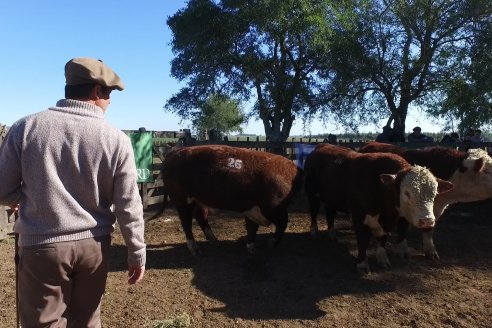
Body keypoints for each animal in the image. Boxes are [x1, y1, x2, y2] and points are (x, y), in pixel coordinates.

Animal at [161, 145, 302, 255]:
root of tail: (173, 153)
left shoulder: (253, 208)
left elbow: (252, 227)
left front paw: (251, 247)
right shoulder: (273, 208)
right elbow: (282, 225)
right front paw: (270, 243)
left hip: (198, 201)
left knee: (200, 217)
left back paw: (213, 239)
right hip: (182, 201)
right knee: (186, 222)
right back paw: (194, 248)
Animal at [304, 145, 454, 272]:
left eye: (434, 193)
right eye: (406, 193)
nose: (427, 221)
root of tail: (321, 146)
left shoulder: (389, 220)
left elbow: (383, 238)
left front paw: (382, 259)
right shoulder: (359, 216)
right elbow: (363, 240)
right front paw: (362, 264)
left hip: (331, 198)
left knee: (330, 214)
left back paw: (332, 234)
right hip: (311, 194)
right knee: (314, 211)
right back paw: (314, 232)